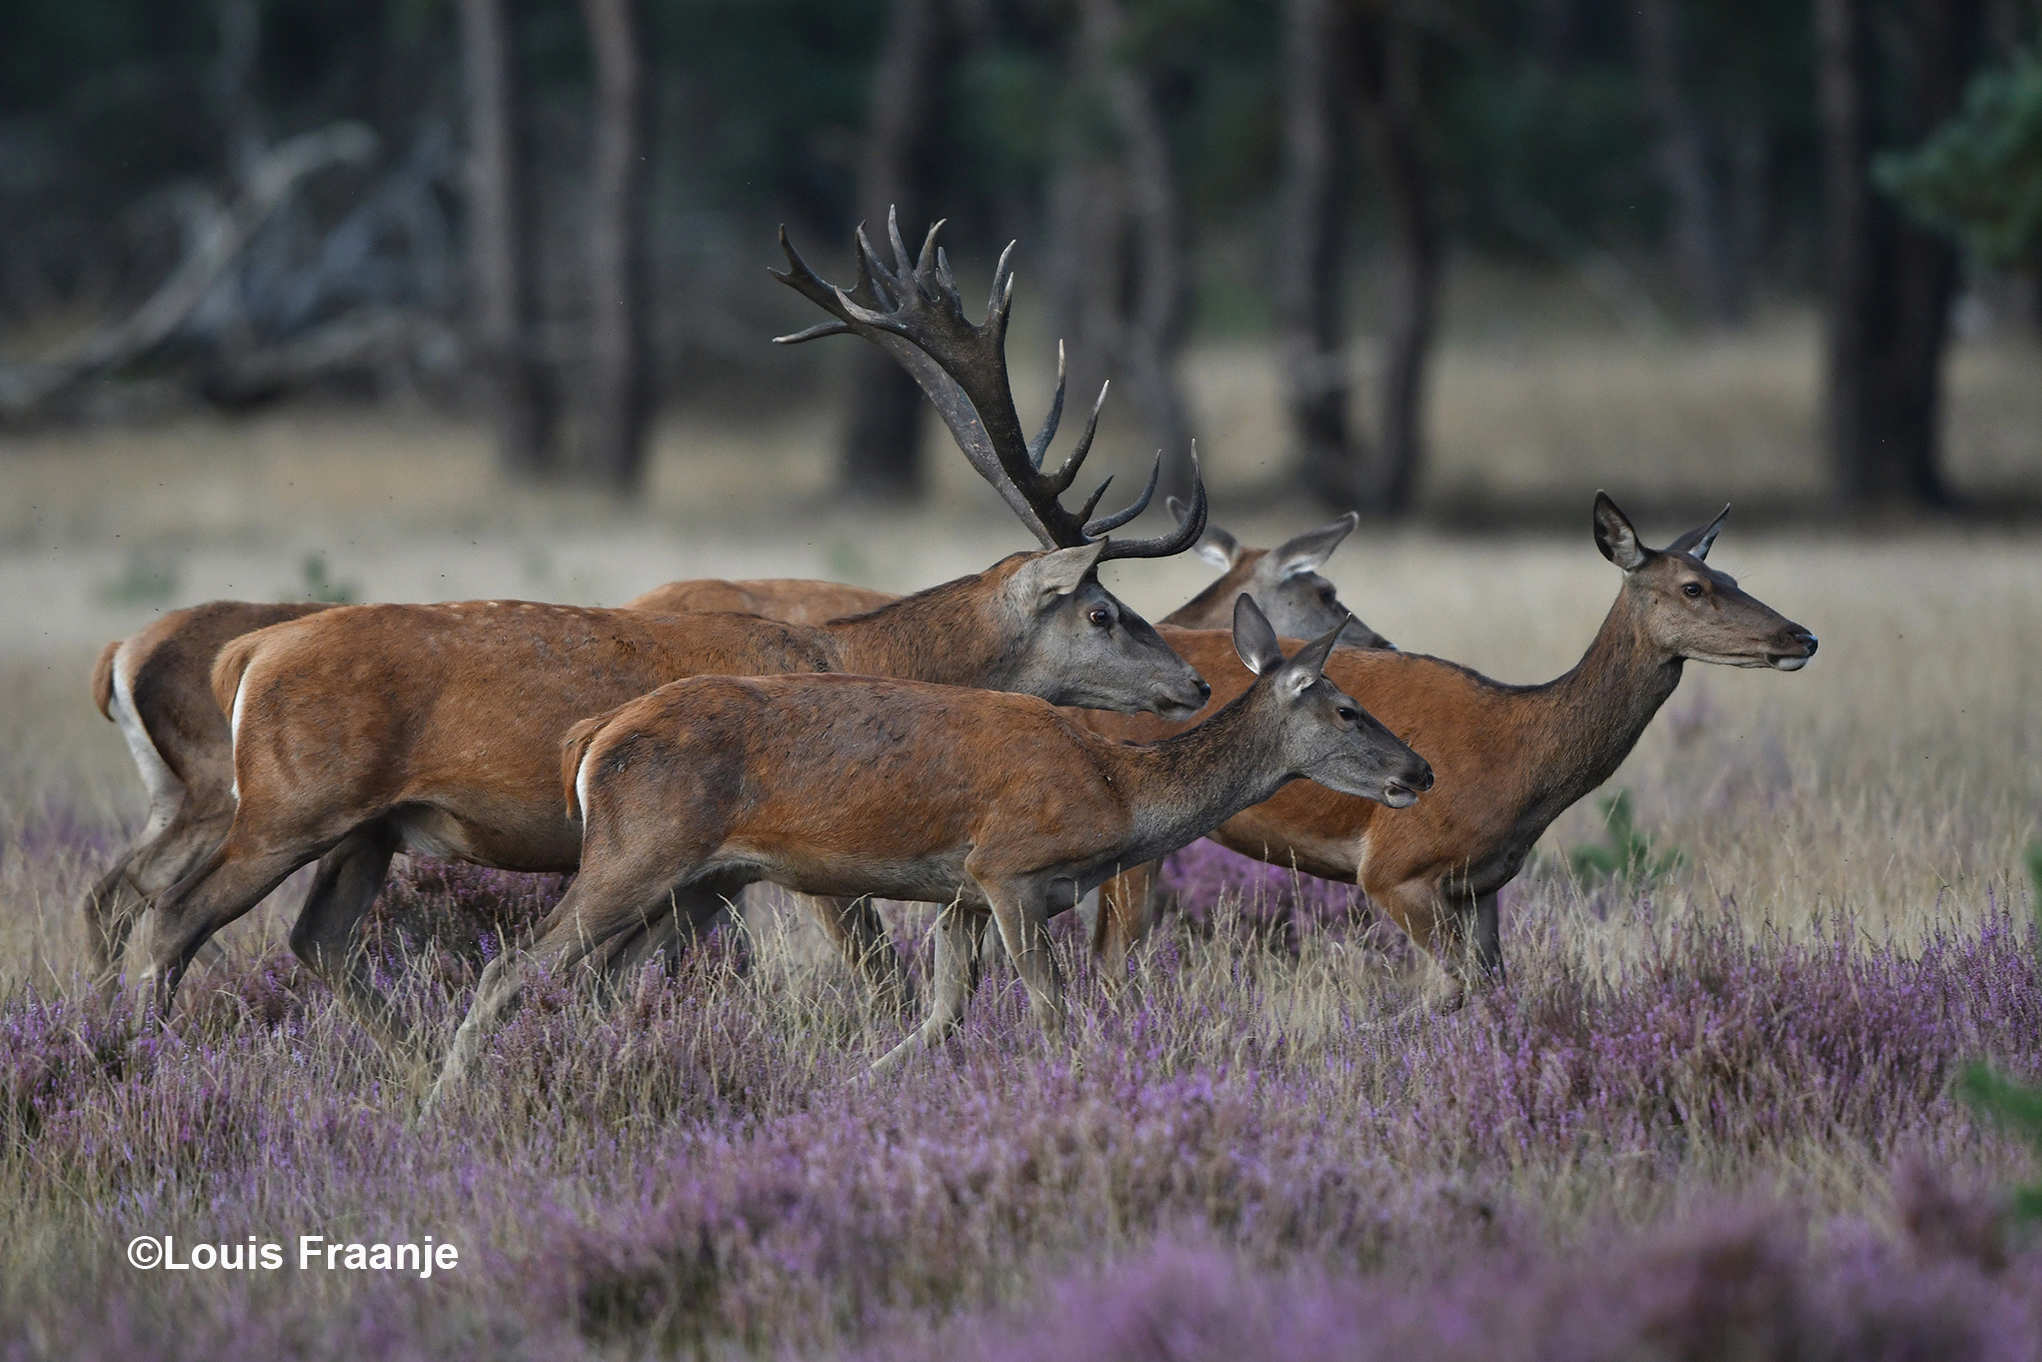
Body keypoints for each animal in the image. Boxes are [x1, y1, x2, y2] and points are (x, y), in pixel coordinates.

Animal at [135, 218, 1217, 1061]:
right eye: (1102, 610)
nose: (1193, 686)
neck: (873, 659)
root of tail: (248, 658)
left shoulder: (709, 875)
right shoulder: (809, 859)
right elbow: (878, 979)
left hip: (366, 830)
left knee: (314, 941)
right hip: (289, 805)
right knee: (169, 916)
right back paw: (137, 1051)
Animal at [422, 600, 1429, 1102]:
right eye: (1350, 710)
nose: (1418, 771)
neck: (1117, 793)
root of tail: (594, 737)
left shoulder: (960, 899)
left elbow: (939, 1015)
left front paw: (850, 1096)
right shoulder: (1010, 869)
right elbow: (1050, 1008)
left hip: (701, 882)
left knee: (596, 984)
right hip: (636, 852)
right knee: (510, 967)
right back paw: (443, 1106)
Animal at [1086, 492, 1821, 1000]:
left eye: (1733, 576)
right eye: (1693, 587)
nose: (1802, 636)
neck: (1524, 760)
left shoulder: (1483, 883)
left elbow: (1494, 990)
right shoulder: (1394, 867)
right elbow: (1449, 991)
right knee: (1112, 960)